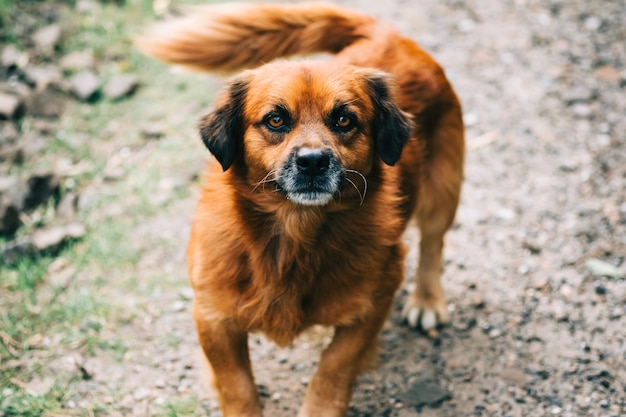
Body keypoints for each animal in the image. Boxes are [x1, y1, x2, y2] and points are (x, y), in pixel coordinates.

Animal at [138, 2, 464, 412]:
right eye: (276, 119)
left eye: (344, 119)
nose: (312, 162)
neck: (294, 237)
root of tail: (387, 36)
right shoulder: (212, 317)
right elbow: (236, 385)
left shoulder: (374, 302)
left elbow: (335, 365)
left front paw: (320, 406)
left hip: (442, 193)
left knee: (433, 243)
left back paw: (427, 299)